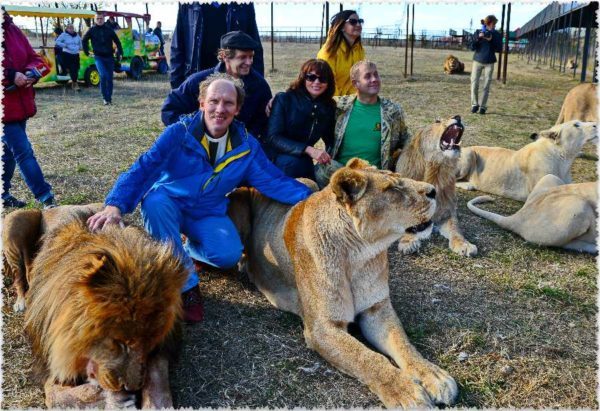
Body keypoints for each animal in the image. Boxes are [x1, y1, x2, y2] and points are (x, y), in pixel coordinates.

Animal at [3, 206, 188, 408]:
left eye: (150, 345)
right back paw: (21, 302)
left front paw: (155, 403)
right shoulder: (47, 360)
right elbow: (53, 396)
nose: (131, 388)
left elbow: (157, 378)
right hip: (13, 222)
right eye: (120, 342)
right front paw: (115, 400)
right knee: (18, 276)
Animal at [227, 159, 458, 408]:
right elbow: (367, 358)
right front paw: (407, 393)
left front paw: (434, 375)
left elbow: (403, 344)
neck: (359, 255)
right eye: (391, 189)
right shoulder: (322, 328)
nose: (433, 191)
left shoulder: (377, 309)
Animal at [394, 116, 478, 258]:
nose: (458, 117)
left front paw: (464, 244)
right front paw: (408, 242)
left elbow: (456, 229)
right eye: (437, 121)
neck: (435, 172)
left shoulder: (446, 212)